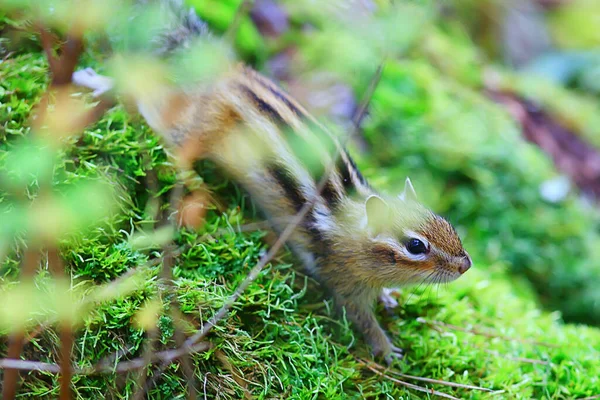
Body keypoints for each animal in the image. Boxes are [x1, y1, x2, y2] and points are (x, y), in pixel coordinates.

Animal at [72, 0, 472, 362]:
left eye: (448, 225)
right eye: (415, 246)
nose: (465, 265)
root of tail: (228, 71)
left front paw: (389, 297)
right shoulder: (342, 279)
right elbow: (359, 317)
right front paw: (386, 348)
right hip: (193, 130)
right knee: (151, 103)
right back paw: (100, 83)